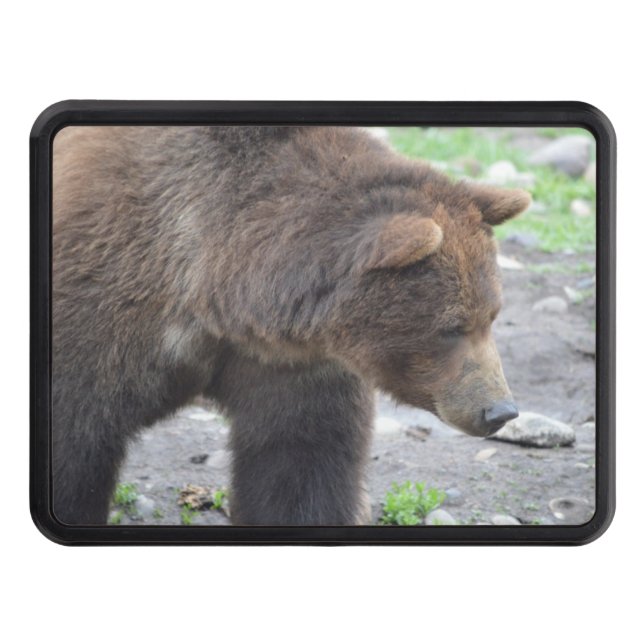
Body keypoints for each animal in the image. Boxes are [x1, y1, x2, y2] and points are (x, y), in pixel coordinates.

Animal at [52, 125, 530, 526]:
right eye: (452, 326)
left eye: (491, 316)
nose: (500, 410)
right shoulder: (102, 304)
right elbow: (75, 444)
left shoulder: (293, 363)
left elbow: (300, 460)